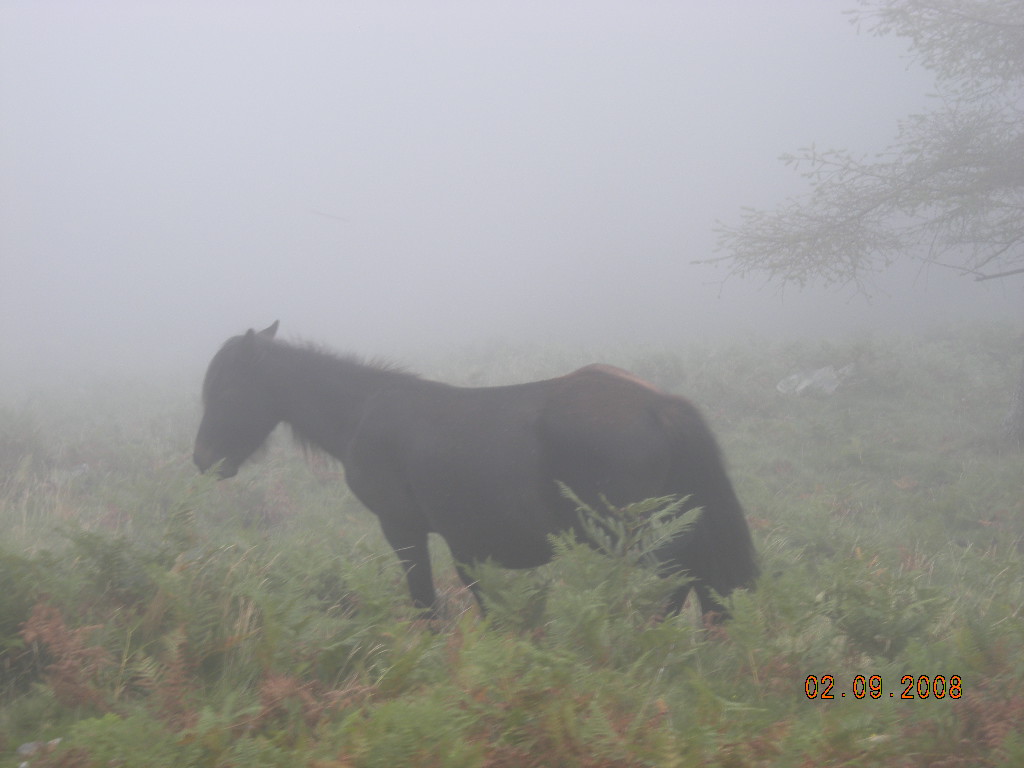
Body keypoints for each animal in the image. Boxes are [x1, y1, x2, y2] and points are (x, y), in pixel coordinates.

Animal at [193, 322, 758, 620]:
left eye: (223, 389)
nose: (202, 458)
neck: (364, 412)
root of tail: (659, 406)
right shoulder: (465, 544)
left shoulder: (403, 529)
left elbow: (426, 602)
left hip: (636, 536)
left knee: (677, 585)